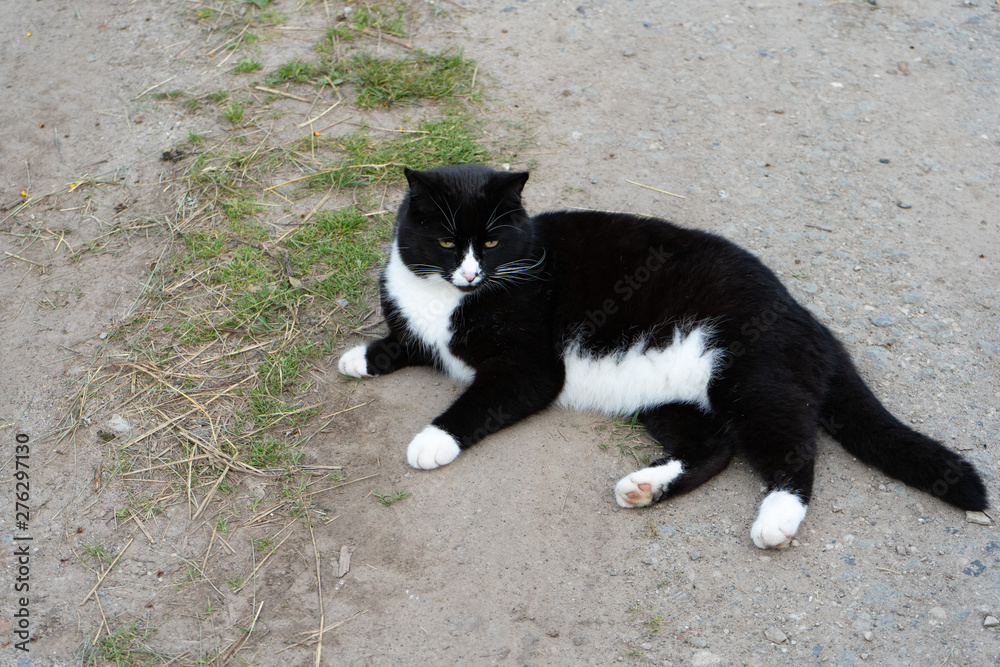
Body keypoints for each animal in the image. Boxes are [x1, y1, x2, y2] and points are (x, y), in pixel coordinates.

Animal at [338, 164, 988, 549]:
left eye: (494, 241)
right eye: (448, 241)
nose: (472, 273)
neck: (445, 299)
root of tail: (806, 318)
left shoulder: (530, 370)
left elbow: (476, 401)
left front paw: (432, 440)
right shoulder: (419, 325)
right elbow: (401, 343)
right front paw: (359, 357)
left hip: (747, 377)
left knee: (793, 451)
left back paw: (775, 520)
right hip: (669, 399)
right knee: (715, 447)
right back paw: (644, 488)